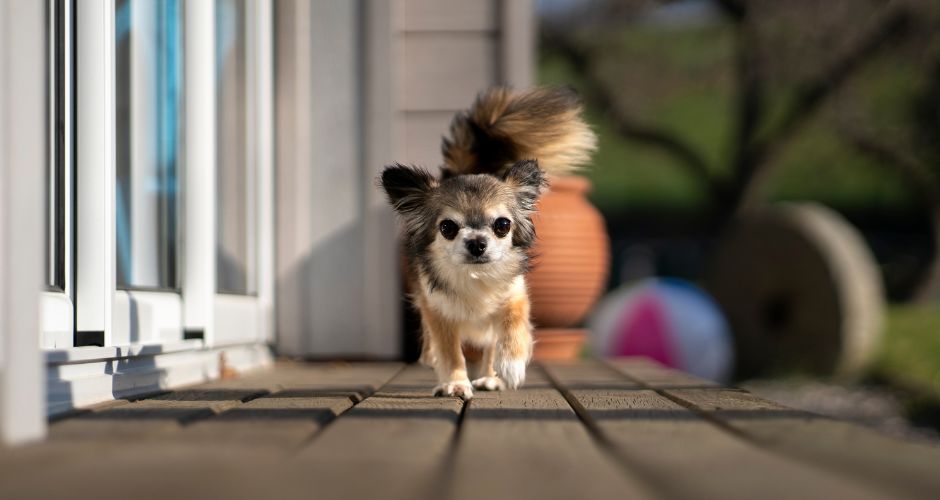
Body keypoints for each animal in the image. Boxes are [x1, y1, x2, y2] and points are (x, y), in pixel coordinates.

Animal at [376, 87, 592, 398]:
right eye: (447, 227)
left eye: (502, 225)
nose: (477, 243)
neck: (474, 278)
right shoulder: (438, 310)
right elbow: (450, 351)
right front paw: (455, 382)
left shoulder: (514, 296)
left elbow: (512, 326)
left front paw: (511, 366)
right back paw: (432, 356)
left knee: (491, 342)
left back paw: (491, 376)